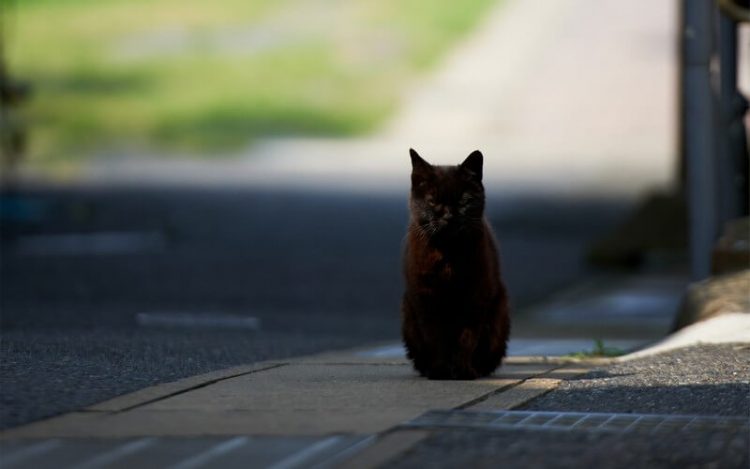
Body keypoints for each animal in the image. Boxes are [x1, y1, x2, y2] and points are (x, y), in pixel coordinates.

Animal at [402, 150, 516, 380]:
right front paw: (439, 371)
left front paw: (463, 370)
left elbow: (467, 338)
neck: (448, 254)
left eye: (464, 200)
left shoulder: (476, 296)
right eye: (433, 201)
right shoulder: (425, 297)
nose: (448, 215)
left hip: (500, 313)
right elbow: (435, 337)